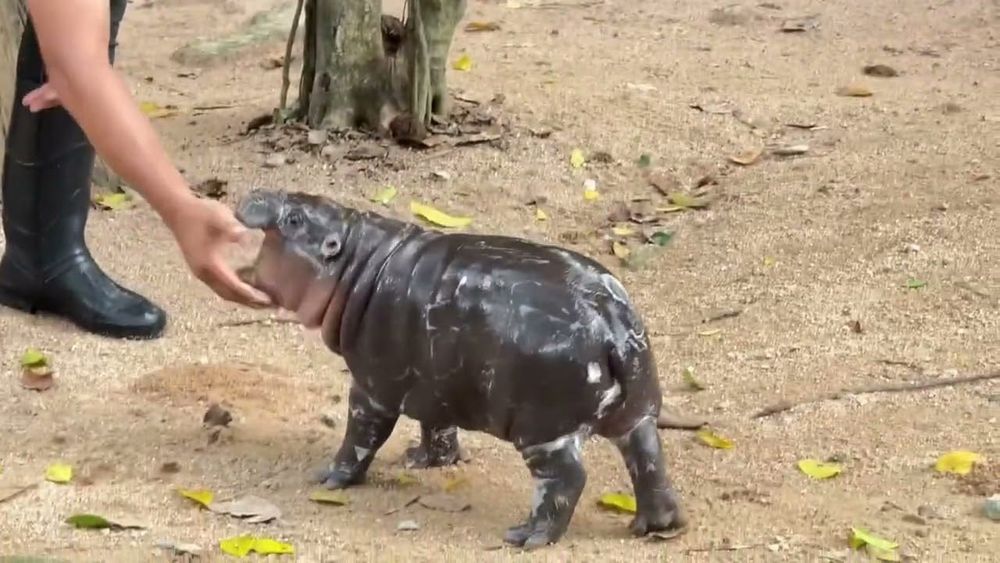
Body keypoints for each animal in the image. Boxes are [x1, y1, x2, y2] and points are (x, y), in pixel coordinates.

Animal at [233, 188, 686, 549]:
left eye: (294, 219)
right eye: (300, 198)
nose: (255, 192)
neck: (355, 258)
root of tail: (611, 320)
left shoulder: (372, 388)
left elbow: (360, 436)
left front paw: (328, 477)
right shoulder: (435, 380)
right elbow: (437, 425)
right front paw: (421, 459)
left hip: (544, 432)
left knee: (566, 480)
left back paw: (526, 536)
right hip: (636, 411)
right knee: (648, 458)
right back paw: (655, 526)